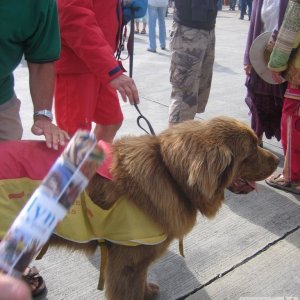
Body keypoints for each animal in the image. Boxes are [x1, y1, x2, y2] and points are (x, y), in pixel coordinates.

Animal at [0, 116, 278, 298]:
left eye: (257, 142)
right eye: (251, 151)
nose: (277, 160)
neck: (170, 173)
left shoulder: (137, 260)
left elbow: (141, 281)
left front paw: (147, 291)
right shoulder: (126, 263)